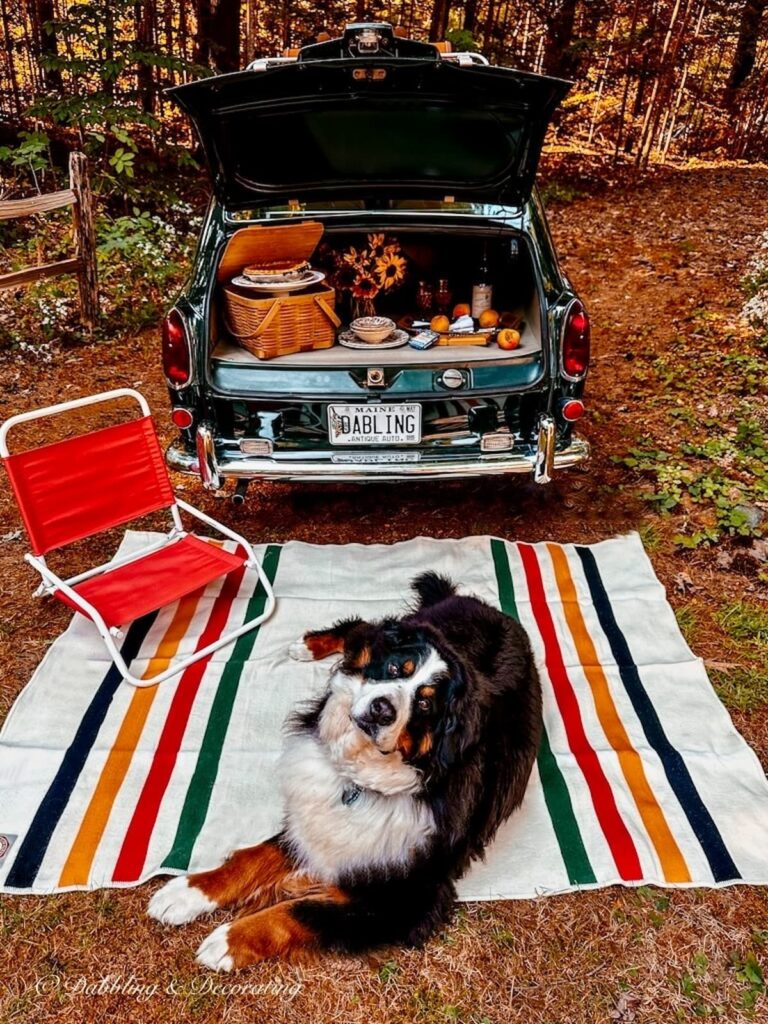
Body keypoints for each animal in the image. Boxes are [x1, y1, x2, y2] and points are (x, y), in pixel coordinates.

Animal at [148, 573, 540, 970]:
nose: (383, 709)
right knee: (364, 630)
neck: (360, 780)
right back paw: (309, 645)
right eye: (396, 670)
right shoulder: (314, 822)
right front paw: (185, 892)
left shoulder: (406, 900)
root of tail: (493, 611)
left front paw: (227, 941)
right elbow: (252, 857)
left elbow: (300, 911)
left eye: (426, 704)